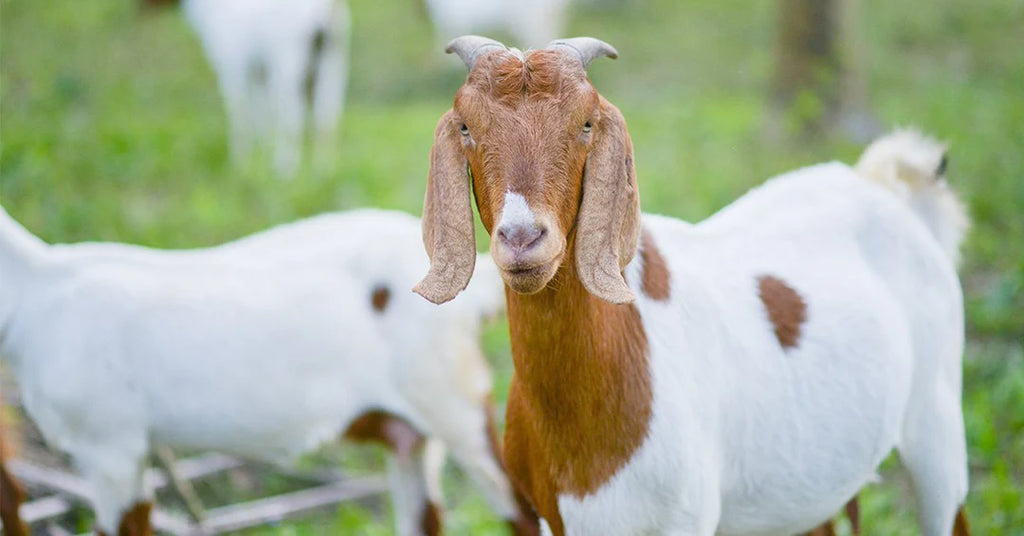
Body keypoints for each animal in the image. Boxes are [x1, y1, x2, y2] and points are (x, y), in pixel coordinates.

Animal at [145, 0, 350, 176]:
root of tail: (324, 8)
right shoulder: (258, 74)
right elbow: (263, 115)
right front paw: (261, 156)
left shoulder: (234, 69)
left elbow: (240, 114)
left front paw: (241, 162)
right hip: (331, 66)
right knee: (326, 117)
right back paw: (323, 168)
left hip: (289, 65)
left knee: (292, 117)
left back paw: (285, 167)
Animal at [414, 35, 971, 536]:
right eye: (466, 126)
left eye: (586, 123)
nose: (523, 238)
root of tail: (887, 187)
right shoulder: (551, 517)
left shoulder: (686, 516)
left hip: (938, 418)